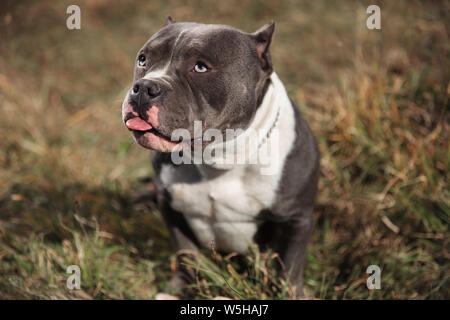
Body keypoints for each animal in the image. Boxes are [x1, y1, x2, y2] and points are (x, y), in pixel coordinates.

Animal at [121, 17, 318, 298]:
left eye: (201, 67)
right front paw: (180, 288)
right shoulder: (170, 206)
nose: (144, 87)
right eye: (143, 59)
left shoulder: (296, 219)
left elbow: (290, 267)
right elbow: (186, 254)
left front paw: (289, 293)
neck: (217, 158)